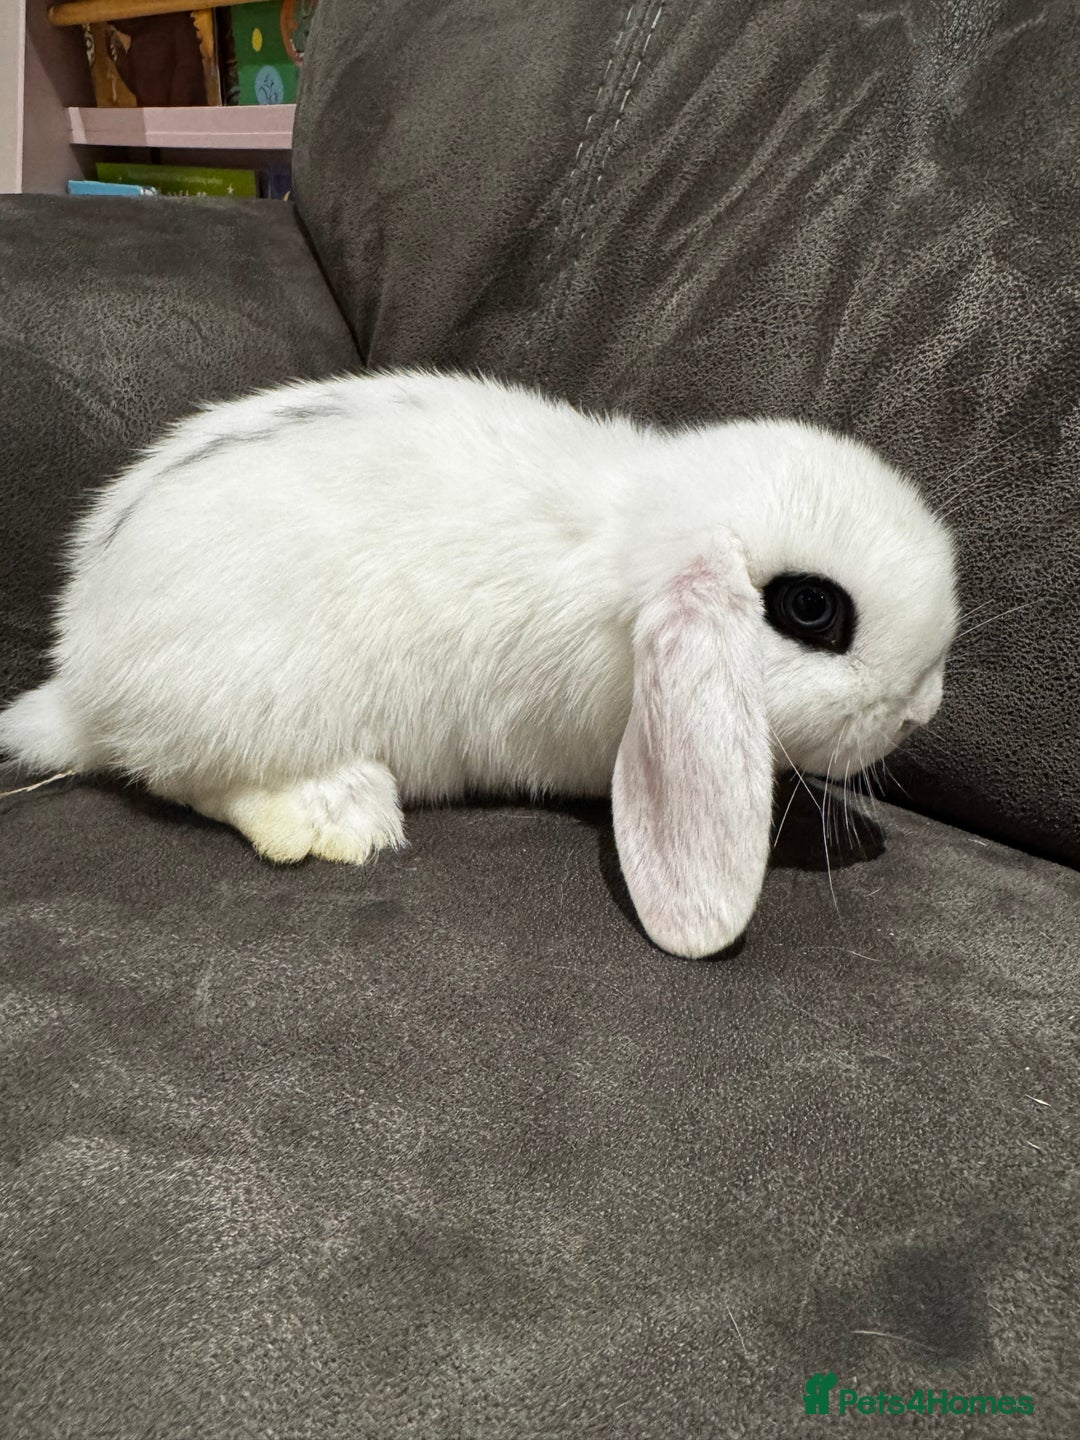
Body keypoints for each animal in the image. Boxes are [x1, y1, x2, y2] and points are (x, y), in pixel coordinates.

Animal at [0, 369, 958, 959]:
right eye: (811, 608)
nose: (923, 709)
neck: (631, 548)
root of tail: (79, 681)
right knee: (189, 778)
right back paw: (339, 819)